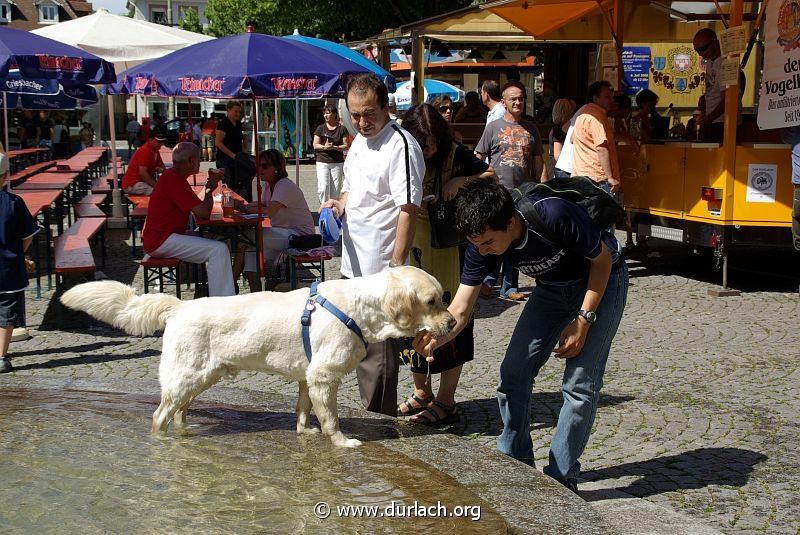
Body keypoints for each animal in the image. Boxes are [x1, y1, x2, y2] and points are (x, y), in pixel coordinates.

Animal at [59, 266, 454, 448]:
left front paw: (304, 432)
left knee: (179, 410)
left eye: (444, 297)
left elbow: (304, 410)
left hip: (199, 376)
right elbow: (331, 418)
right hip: (187, 375)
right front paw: (341, 443)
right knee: (159, 415)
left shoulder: (307, 376)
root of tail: (179, 305)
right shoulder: (324, 374)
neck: (359, 308)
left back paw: (185, 432)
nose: (453, 323)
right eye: (432, 301)